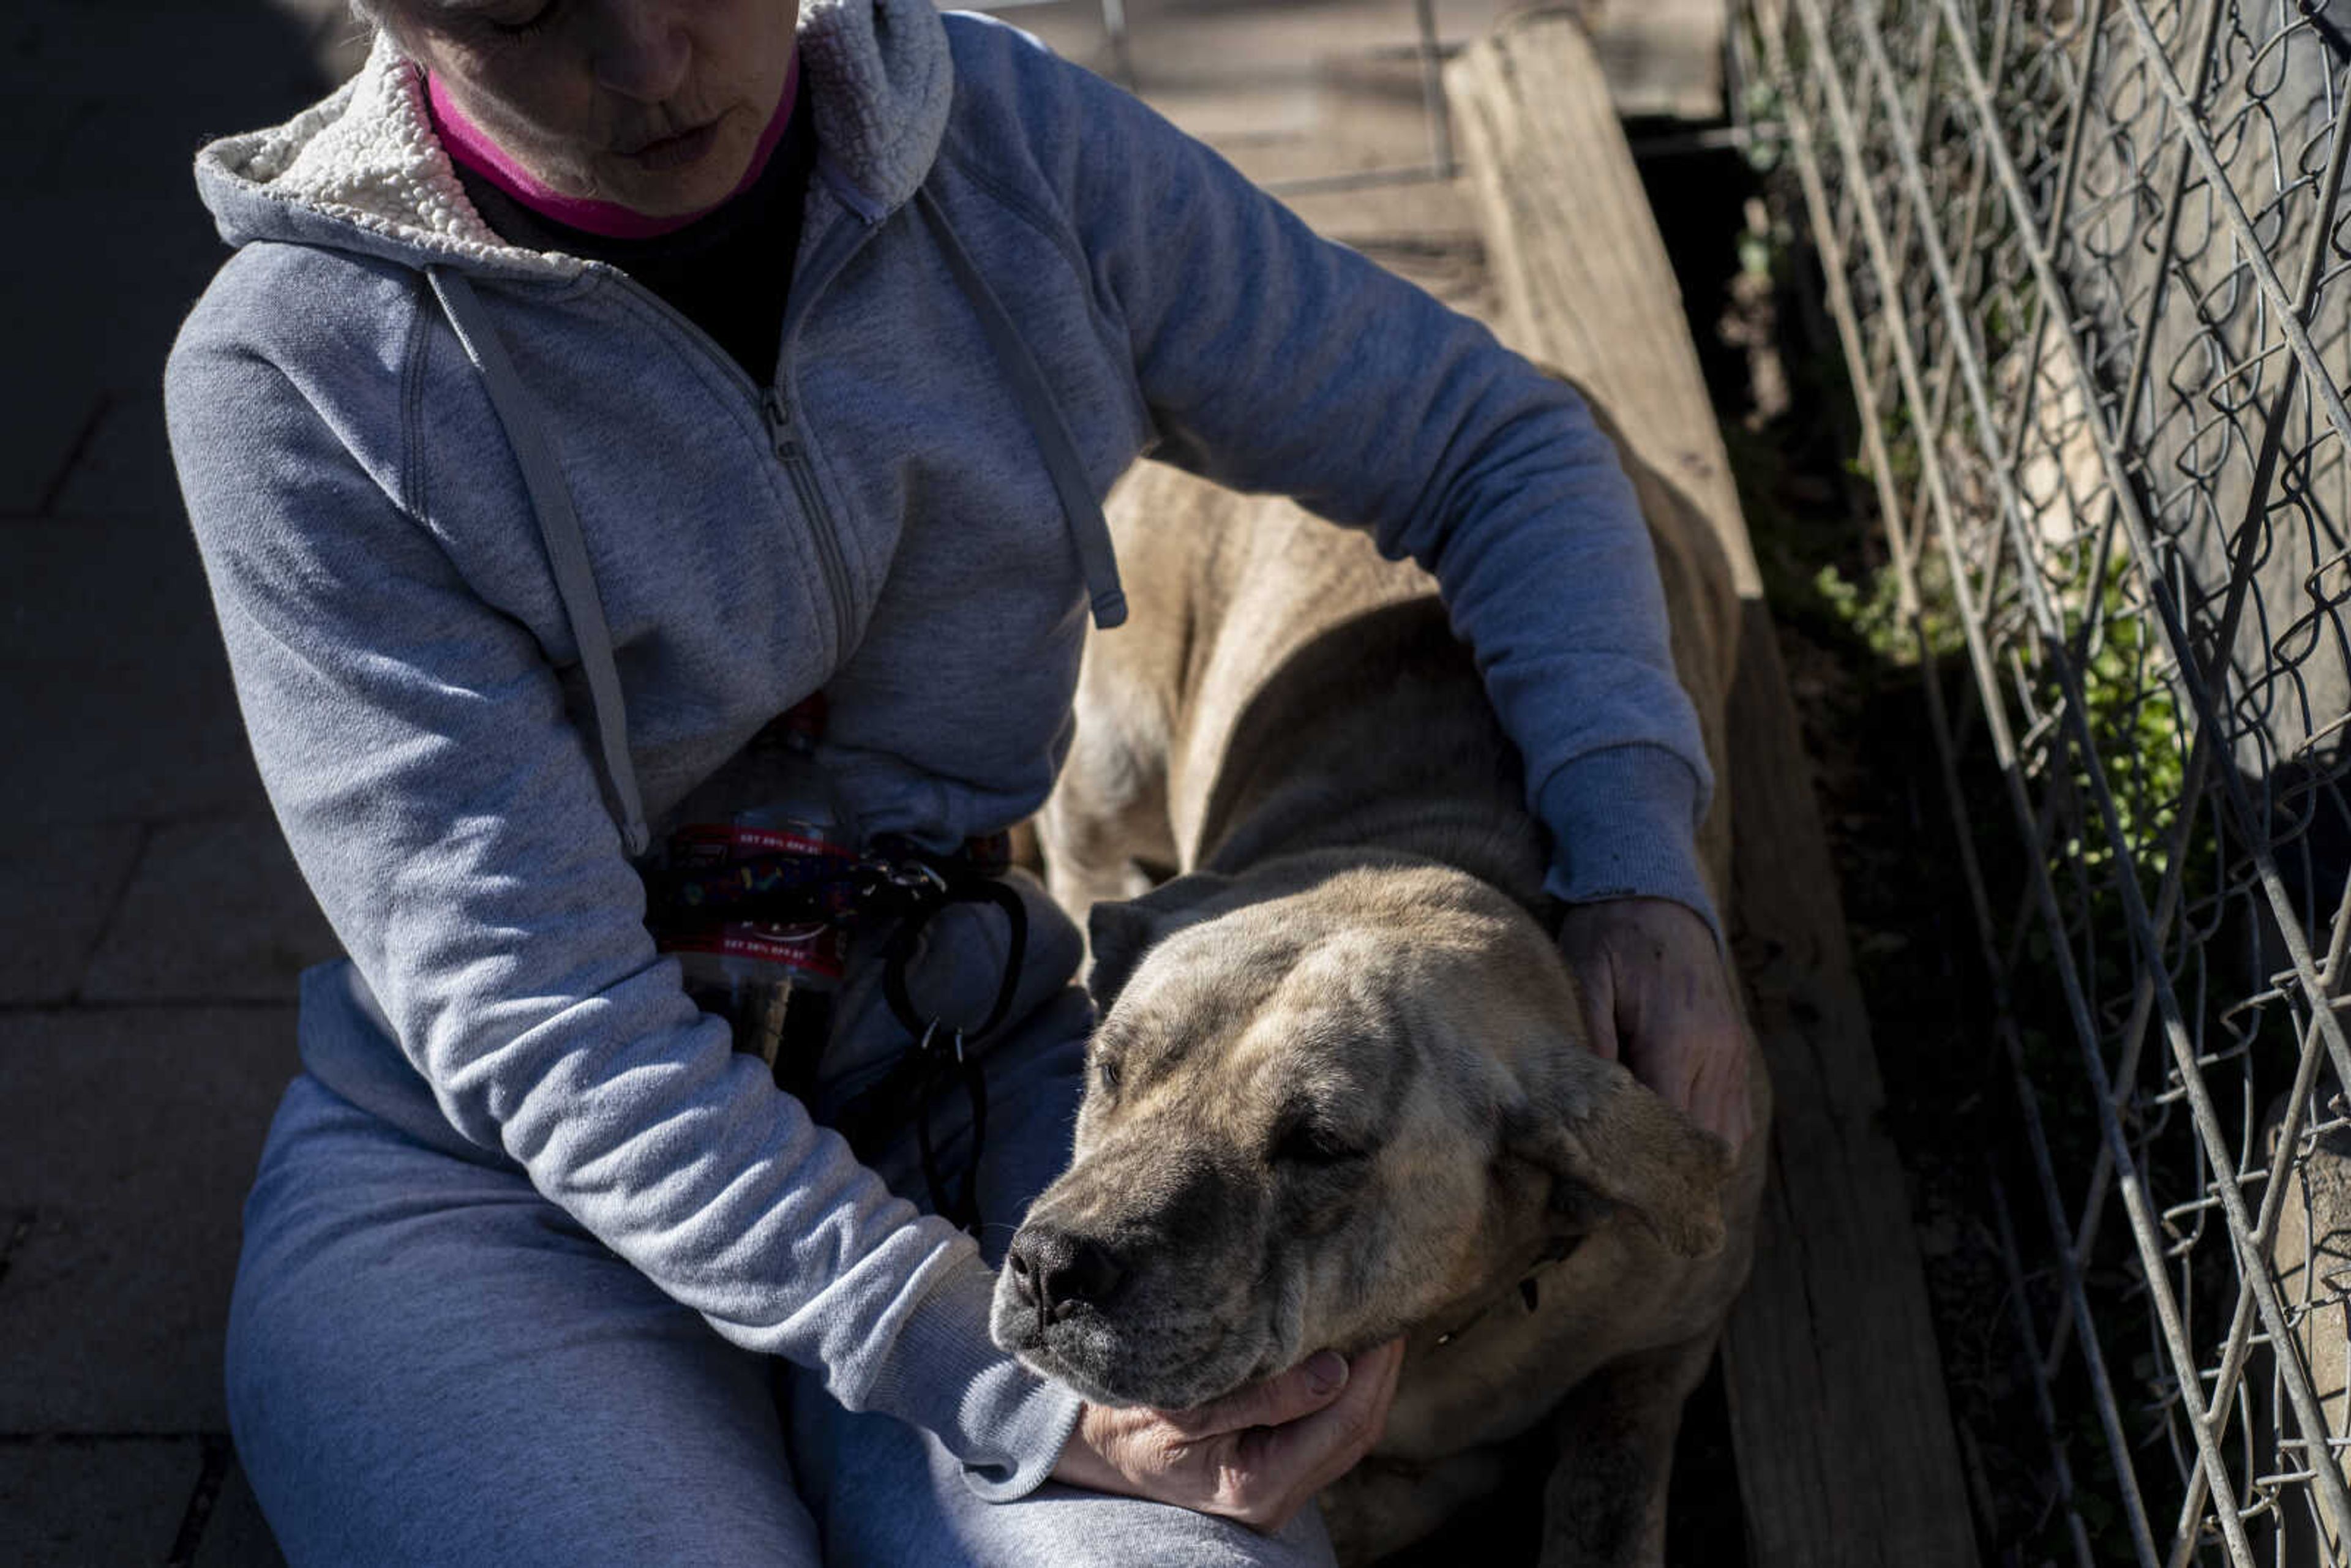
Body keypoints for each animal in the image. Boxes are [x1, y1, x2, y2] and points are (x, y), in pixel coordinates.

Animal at [1001, 409, 1768, 1568]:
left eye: (1319, 1146)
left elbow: (1608, 1489)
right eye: (1109, 1072)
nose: (1050, 1266)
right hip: (1109, 753)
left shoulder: (1669, 1336)